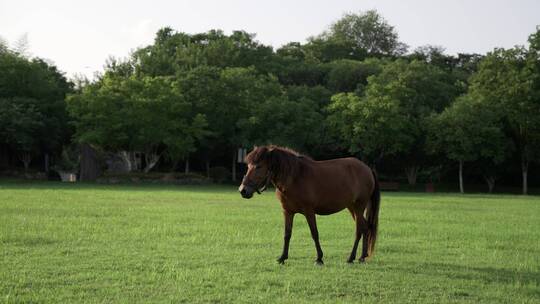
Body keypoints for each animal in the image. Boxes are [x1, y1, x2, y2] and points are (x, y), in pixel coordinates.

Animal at [240, 145, 380, 264]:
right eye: (248, 166)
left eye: (259, 166)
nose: (243, 190)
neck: (295, 177)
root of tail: (367, 168)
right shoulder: (287, 212)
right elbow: (287, 234)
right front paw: (282, 257)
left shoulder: (309, 211)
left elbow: (314, 233)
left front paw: (319, 258)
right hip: (352, 207)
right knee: (365, 228)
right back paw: (362, 257)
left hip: (359, 206)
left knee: (359, 230)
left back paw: (351, 257)